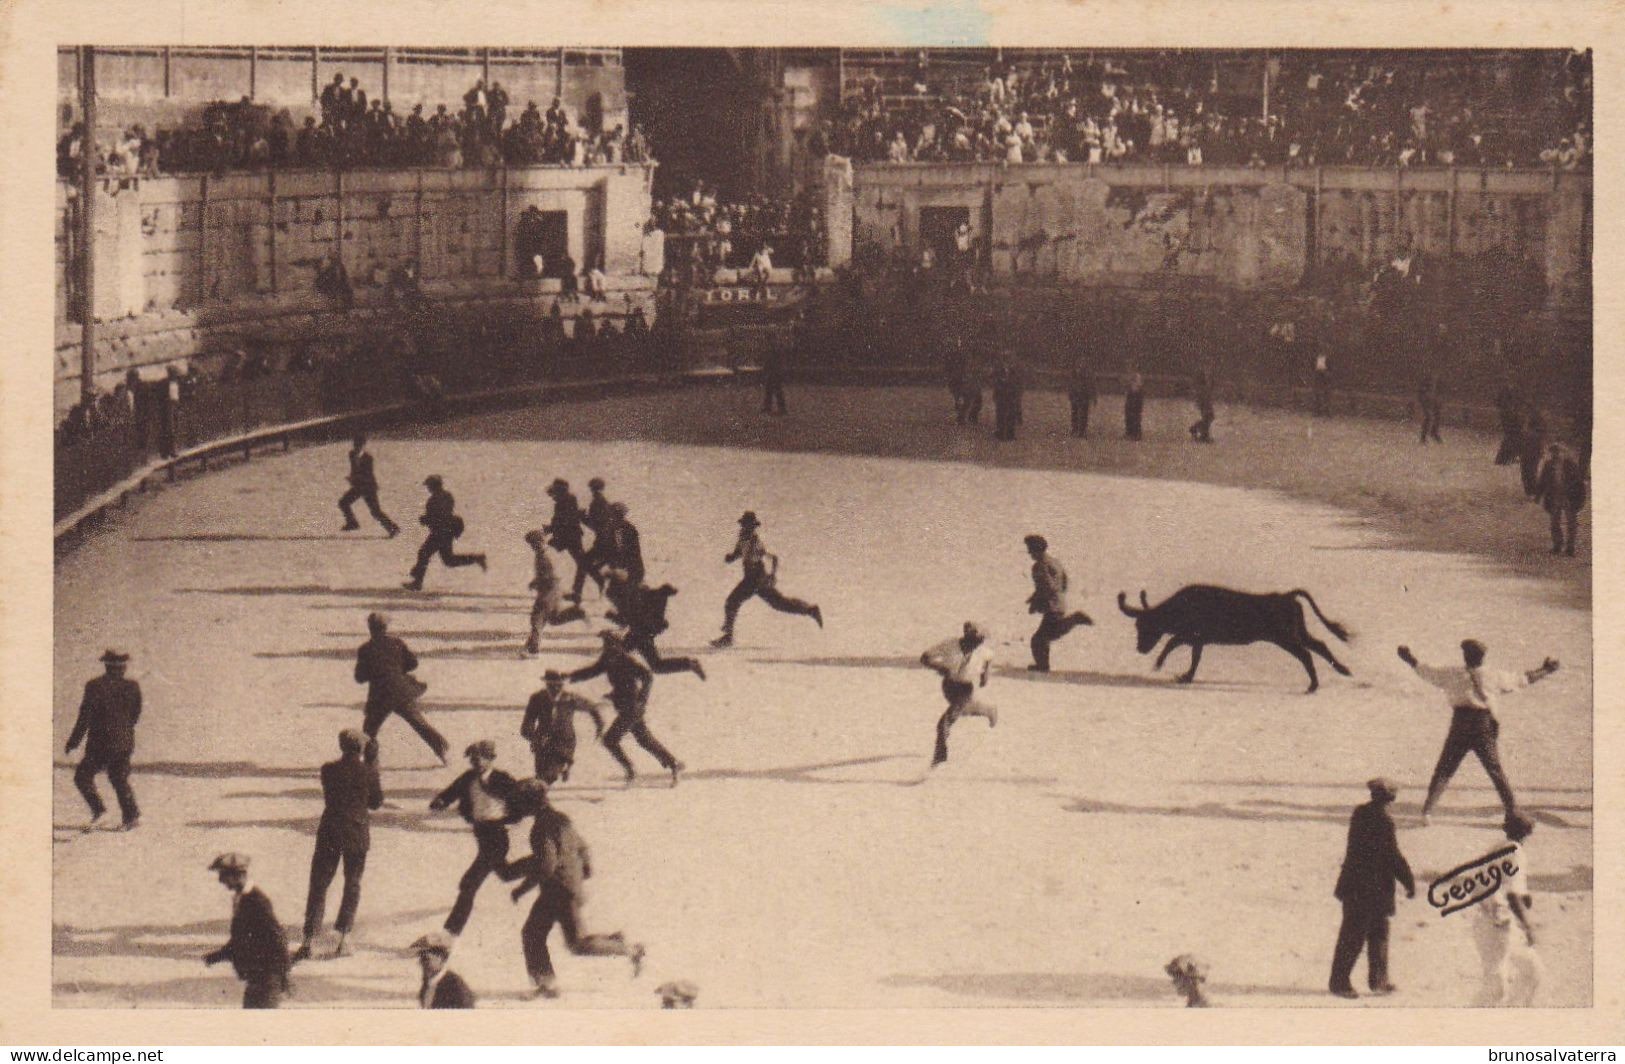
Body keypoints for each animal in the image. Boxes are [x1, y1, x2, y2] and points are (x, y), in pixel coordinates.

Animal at [1118, 588, 1358, 695]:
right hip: (1299, 633)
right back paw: (1343, 671)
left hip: (1286, 638)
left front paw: (1159, 665)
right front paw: (1186, 676)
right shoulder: (1198, 640)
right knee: (1319, 645)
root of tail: (1286, 596)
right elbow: (1195, 659)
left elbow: (1171, 645)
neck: (1179, 606)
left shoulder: (1188, 636)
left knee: (1306, 654)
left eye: (1145, 626)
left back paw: (1313, 685)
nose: (1140, 648)